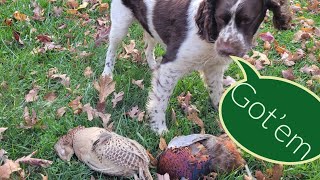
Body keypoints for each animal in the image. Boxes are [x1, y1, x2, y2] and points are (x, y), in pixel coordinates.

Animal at [102, 0, 290, 134]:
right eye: (220, 18)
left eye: (247, 20)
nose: (225, 50)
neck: (209, 32)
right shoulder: (171, 66)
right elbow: (160, 102)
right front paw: (159, 130)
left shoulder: (214, 67)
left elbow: (216, 93)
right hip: (120, 23)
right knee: (111, 50)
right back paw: (107, 75)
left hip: (150, 27)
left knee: (148, 47)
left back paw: (152, 65)